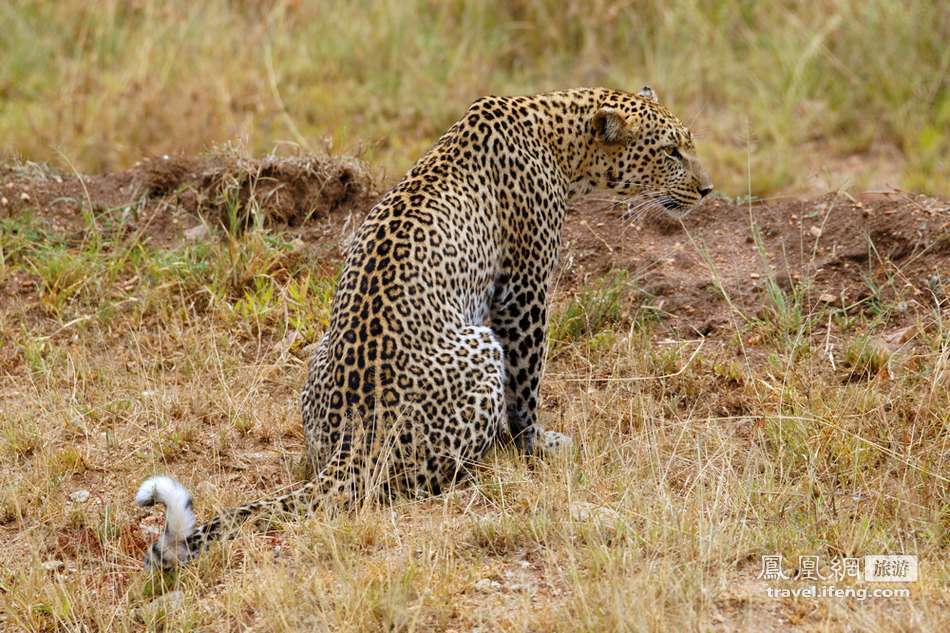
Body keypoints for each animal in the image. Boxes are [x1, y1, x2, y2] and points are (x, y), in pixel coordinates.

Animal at [136, 85, 712, 568]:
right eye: (671, 152)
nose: (708, 190)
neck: (559, 136)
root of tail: (354, 446)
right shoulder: (524, 289)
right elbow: (528, 380)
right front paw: (538, 443)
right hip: (480, 349)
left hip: (319, 360)